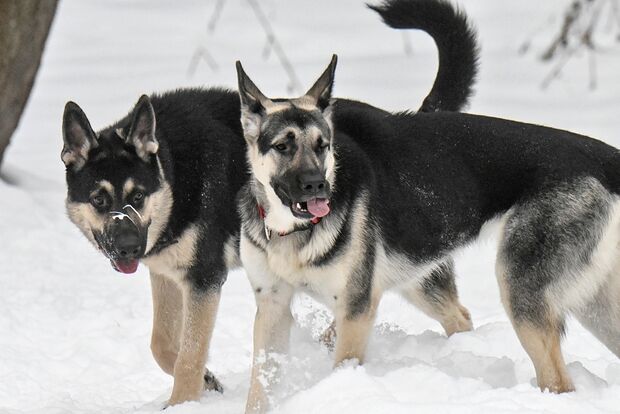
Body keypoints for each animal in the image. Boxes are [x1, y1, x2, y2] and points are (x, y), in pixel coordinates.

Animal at [59, 0, 474, 408]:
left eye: (137, 196)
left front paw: (185, 399)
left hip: (409, 269)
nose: (128, 247)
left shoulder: (204, 278)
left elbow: (189, 355)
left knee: (456, 315)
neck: (175, 171)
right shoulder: (166, 272)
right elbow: (162, 344)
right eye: (99, 198)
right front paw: (209, 381)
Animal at [239, 0, 620, 410]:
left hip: (519, 288)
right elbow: (259, 388)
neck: (292, 233)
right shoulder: (273, 307)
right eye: (283, 146)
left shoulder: (355, 310)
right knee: (461, 318)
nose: (318, 188)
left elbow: (343, 364)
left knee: (557, 380)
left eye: (322, 145)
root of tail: (601, 156)